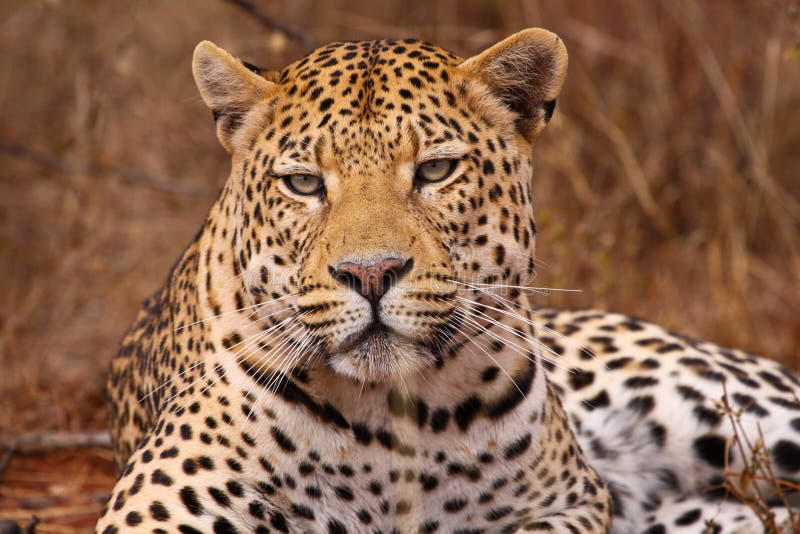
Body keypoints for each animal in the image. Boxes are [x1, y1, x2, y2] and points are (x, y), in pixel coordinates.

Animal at [97, 30, 796, 534]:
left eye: (435, 171)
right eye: (302, 183)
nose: (370, 273)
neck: (393, 423)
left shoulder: (572, 500)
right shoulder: (156, 509)